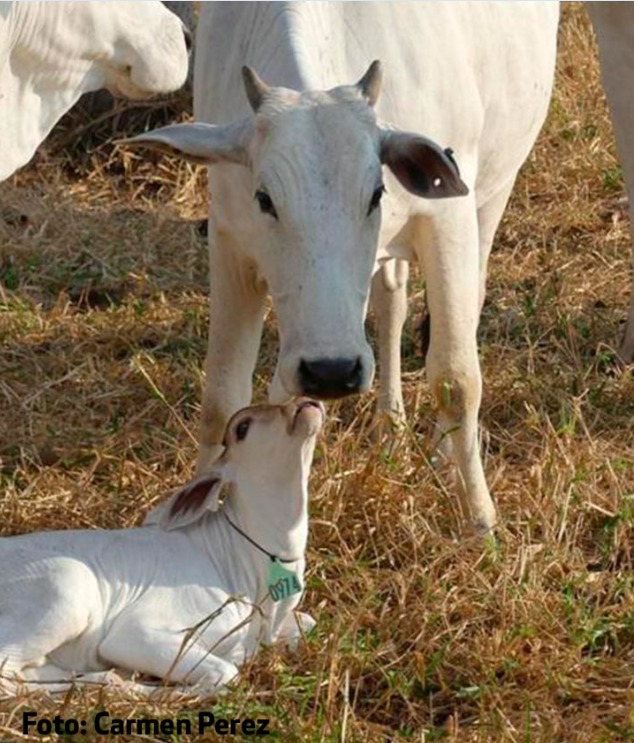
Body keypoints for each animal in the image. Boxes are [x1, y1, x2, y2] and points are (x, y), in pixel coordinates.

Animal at [0, 402, 324, 696]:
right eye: (242, 427)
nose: (307, 403)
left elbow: (307, 623)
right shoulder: (136, 632)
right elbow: (226, 672)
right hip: (67, 590)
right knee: (8, 677)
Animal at [124, 0, 556, 536]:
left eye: (376, 192)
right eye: (265, 198)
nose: (331, 372)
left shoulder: (447, 219)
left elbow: (455, 378)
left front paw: (479, 518)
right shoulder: (228, 238)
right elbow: (220, 399)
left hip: (494, 193)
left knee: (464, 309)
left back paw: (439, 455)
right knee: (390, 303)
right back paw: (389, 426)